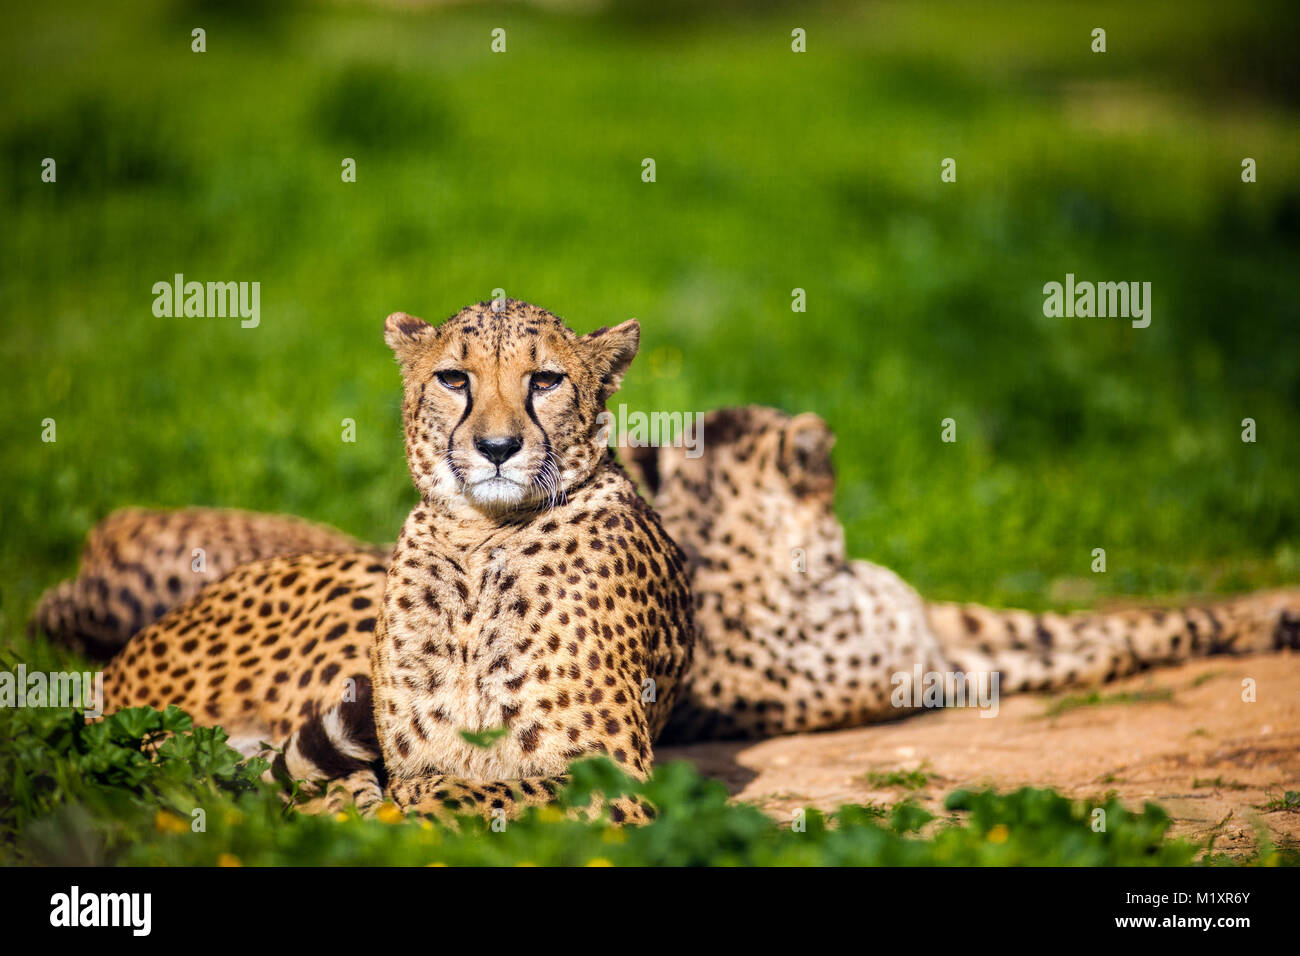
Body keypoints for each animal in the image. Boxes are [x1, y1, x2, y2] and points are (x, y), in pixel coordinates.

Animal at [96, 303, 696, 827]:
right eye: (454, 379)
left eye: (546, 381)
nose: (497, 447)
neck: (479, 533)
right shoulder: (411, 762)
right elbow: (420, 795)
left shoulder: (617, 780)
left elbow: (469, 794)